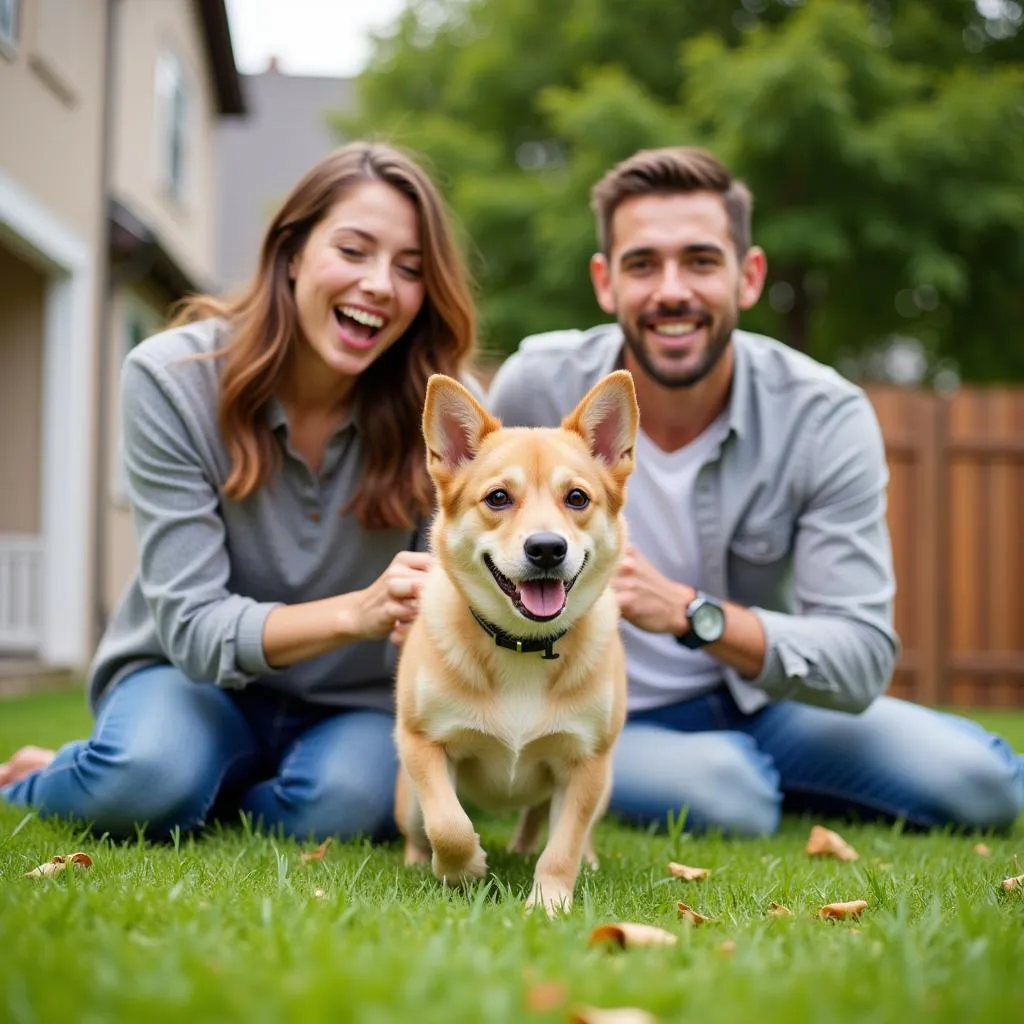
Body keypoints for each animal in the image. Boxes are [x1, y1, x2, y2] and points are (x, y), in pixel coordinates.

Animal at [395, 368, 634, 913]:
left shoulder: (588, 762)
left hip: (605, 781)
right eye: (498, 498)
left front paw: (548, 903)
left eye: (577, 498)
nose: (546, 548)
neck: (523, 646)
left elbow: (563, 846)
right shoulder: (422, 742)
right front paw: (464, 870)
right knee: (421, 828)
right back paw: (420, 861)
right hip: (406, 800)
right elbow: (449, 825)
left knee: (552, 822)